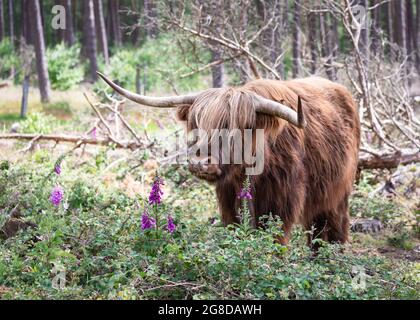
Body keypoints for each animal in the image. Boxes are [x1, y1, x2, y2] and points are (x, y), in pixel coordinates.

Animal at [99, 73, 360, 248]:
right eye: (197, 124)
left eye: (233, 128)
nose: (201, 161)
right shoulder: (227, 198)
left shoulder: (281, 200)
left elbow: (273, 236)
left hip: (338, 192)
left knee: (333, 226)